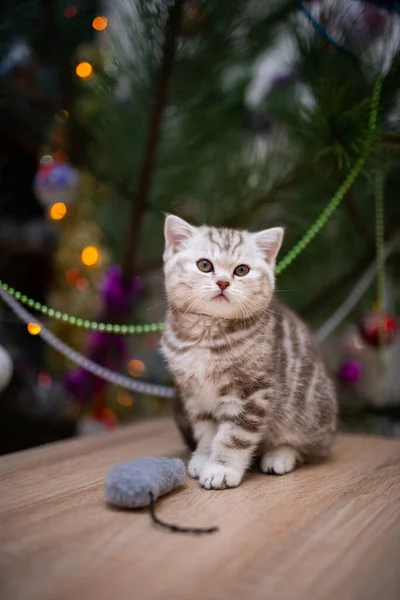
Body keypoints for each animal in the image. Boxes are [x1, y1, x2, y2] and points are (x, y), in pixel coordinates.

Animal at [161, 214, 336, 488]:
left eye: (241, 270)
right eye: (204, 265)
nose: (223, 282)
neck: (207, 334)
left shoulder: (249, 392)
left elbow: (234, 435)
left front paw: (221, 469)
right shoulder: (194, 395)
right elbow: (206, 430)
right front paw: (203, 457)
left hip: (310, 413)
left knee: (309, 447)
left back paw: (280, 455)